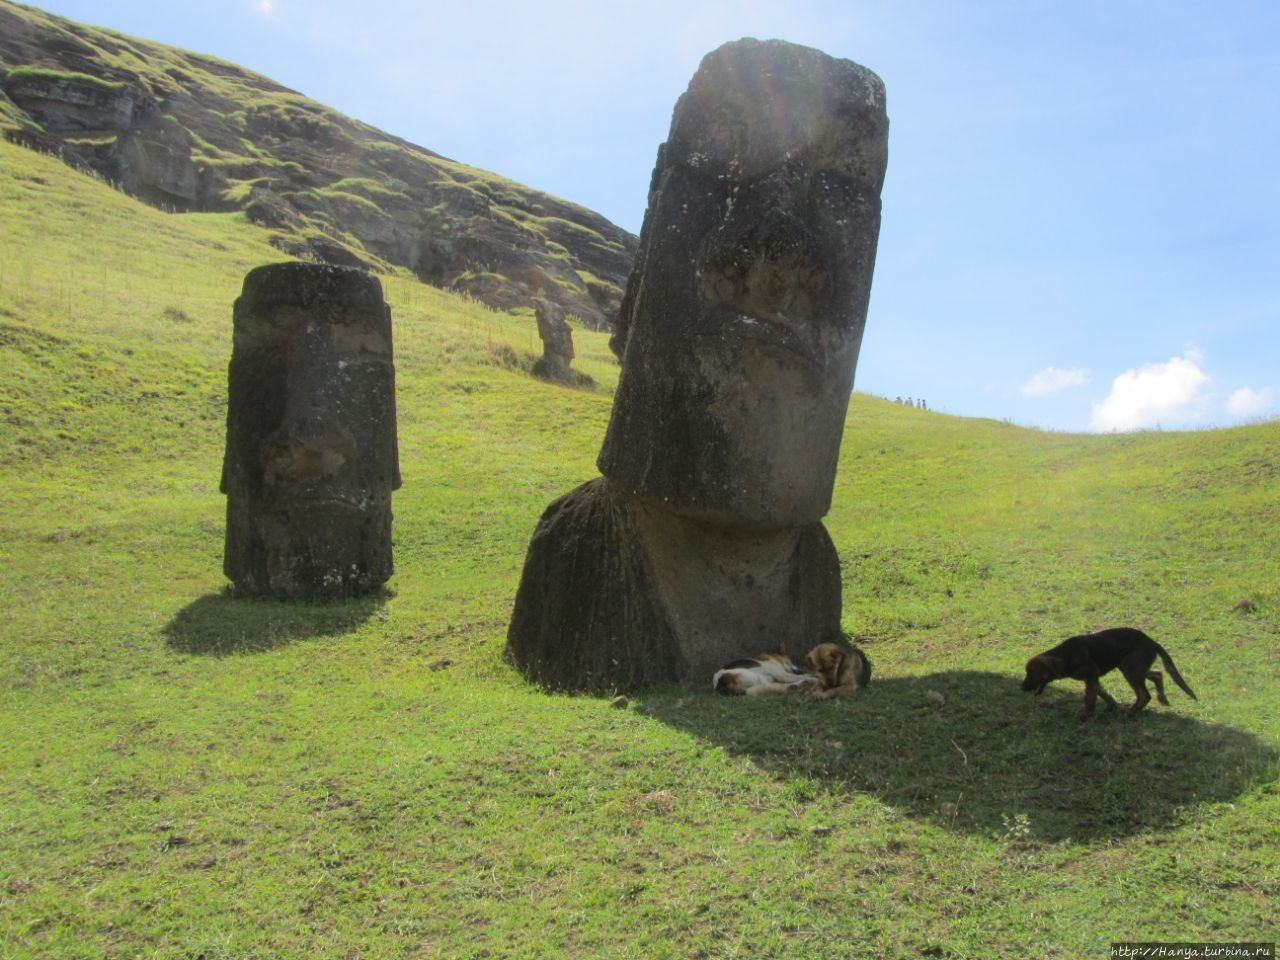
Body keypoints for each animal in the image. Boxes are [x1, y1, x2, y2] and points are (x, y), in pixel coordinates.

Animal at [1018, 627, 1198, 716]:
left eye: (1031, 673)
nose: (1021, 687)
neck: (1066, 656)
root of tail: (1153, 642)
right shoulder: (1093, 677)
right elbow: (1102, 693)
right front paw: (1111, 706)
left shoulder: (1091, 675)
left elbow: (1090, 697)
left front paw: (1087, 715)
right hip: (1130, 666)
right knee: (1157, 674)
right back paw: (1161, 697)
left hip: (1131, 669)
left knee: (1144, 694)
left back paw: (1131, 711)